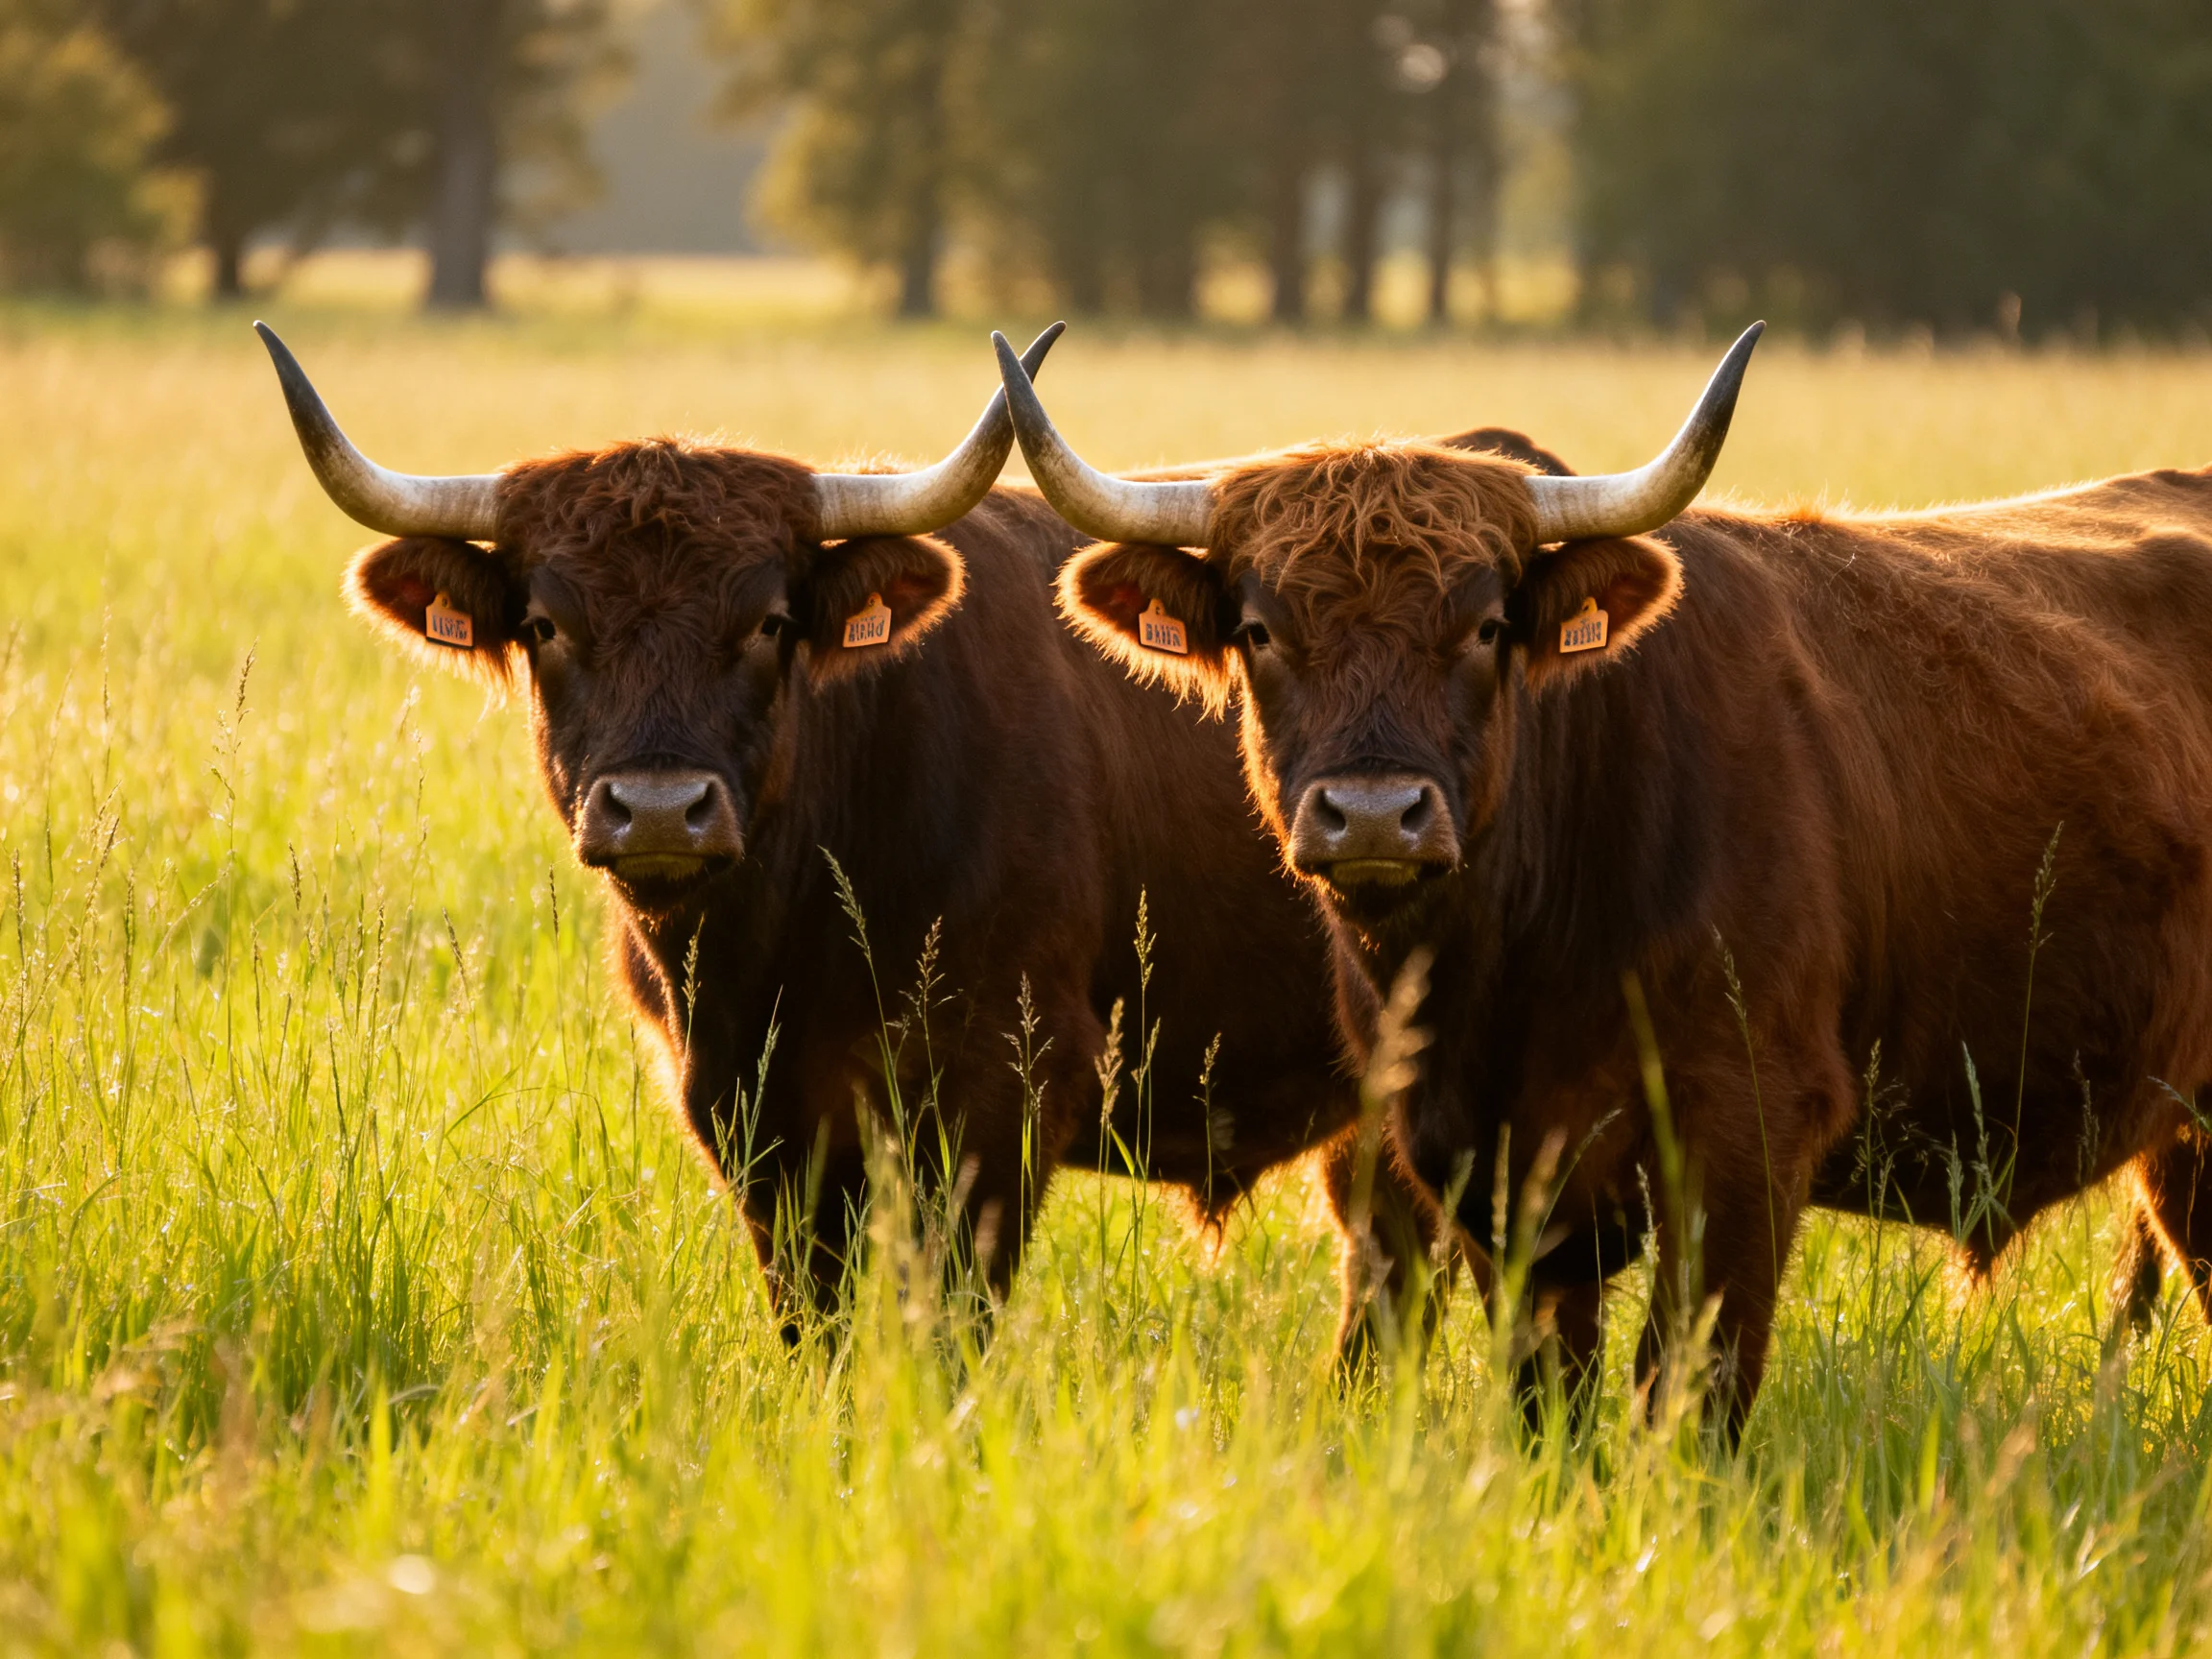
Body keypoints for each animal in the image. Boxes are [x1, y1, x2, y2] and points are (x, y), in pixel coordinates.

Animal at [254, 322, 1447, 1364]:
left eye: (769, 621)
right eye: (547, 625)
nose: (657, 809)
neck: (786, 942)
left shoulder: (1004, 1095)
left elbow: (951, 1325)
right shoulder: (756, 1122)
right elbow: (814, 1325)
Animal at [995, 322, 2212, 1433]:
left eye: (1488, 625)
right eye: (1258, 629)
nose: (1375, 814)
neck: (1519, 973)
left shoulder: (1747, 1138)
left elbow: (1691, 1395)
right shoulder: (1492, 1181)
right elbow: (1552, 1408)